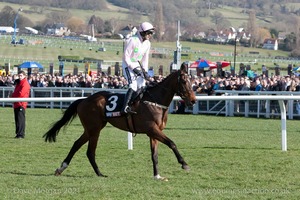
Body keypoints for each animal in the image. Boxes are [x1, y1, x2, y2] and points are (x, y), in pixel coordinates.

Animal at [42, 61, 197, 180]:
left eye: (192, 81)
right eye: (184, 81)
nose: (193, 100)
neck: (155, 101)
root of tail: (83, 100)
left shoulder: (154, 132)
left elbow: (155, 155)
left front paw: (157, 175)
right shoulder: (152, 129)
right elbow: (172, 143)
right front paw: (184, 164)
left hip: (91, 129)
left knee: (77, 145)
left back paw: (65, 169)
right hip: (94, 129)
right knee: (89, 151)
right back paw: (97, 173)